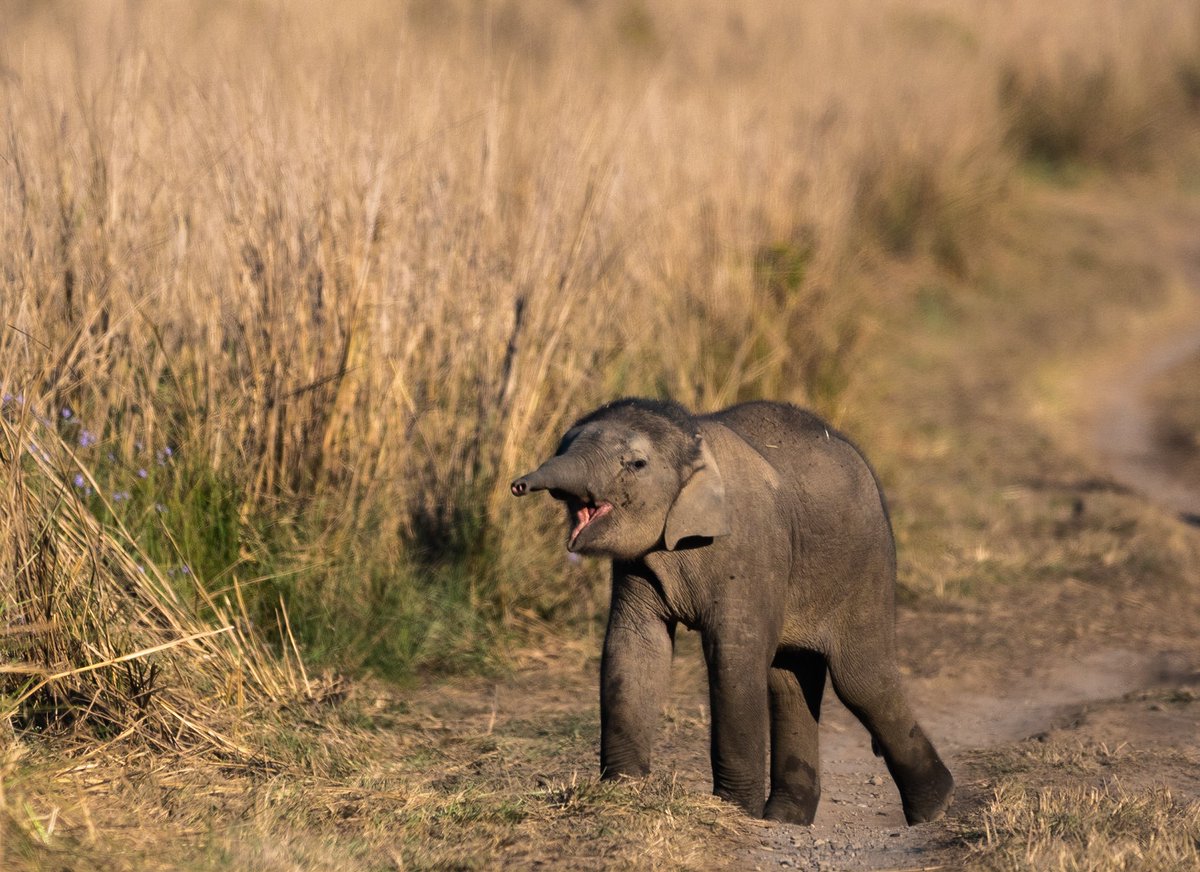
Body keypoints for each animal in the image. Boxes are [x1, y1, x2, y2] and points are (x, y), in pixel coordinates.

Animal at [510, 398, 953, 825]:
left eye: (636, 464)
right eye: (564, 445)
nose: (518, 484)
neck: (693, 440)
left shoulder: (750, 546)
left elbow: (733, 656)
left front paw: (733, 810)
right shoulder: (638, 563)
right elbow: (634, 647)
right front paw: (622, 790)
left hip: (865, 564)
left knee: (860, 680)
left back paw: (934, 808)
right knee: (789, 682)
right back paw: (786, 819)